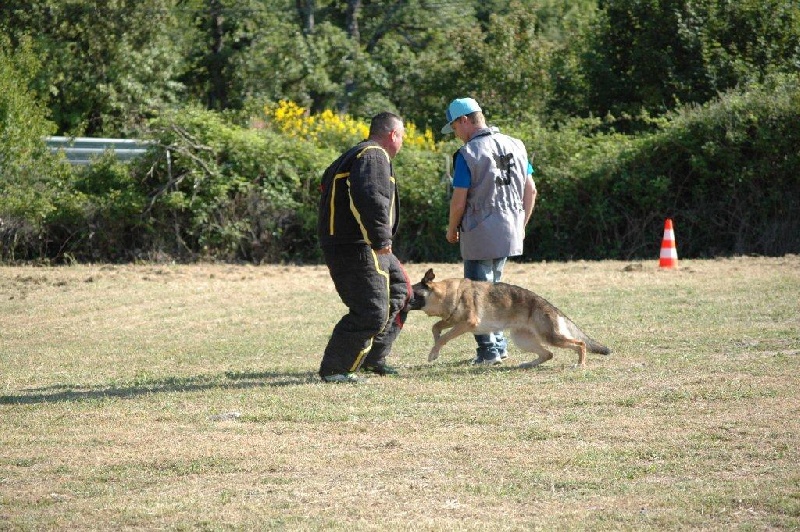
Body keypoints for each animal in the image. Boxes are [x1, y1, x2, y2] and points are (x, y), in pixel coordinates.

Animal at [412, 268, 612, 368]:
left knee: (580, 344)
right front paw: (435, 348)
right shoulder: (453, 321)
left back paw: (580, 364)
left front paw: (433, 352)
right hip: (522, 340)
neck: (448, 293)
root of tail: (551, 306)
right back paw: (528, 364)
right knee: (548, 354)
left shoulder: (466, 323)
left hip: (550, 337)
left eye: (412, 294)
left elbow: (444, 336)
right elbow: (436, 328)